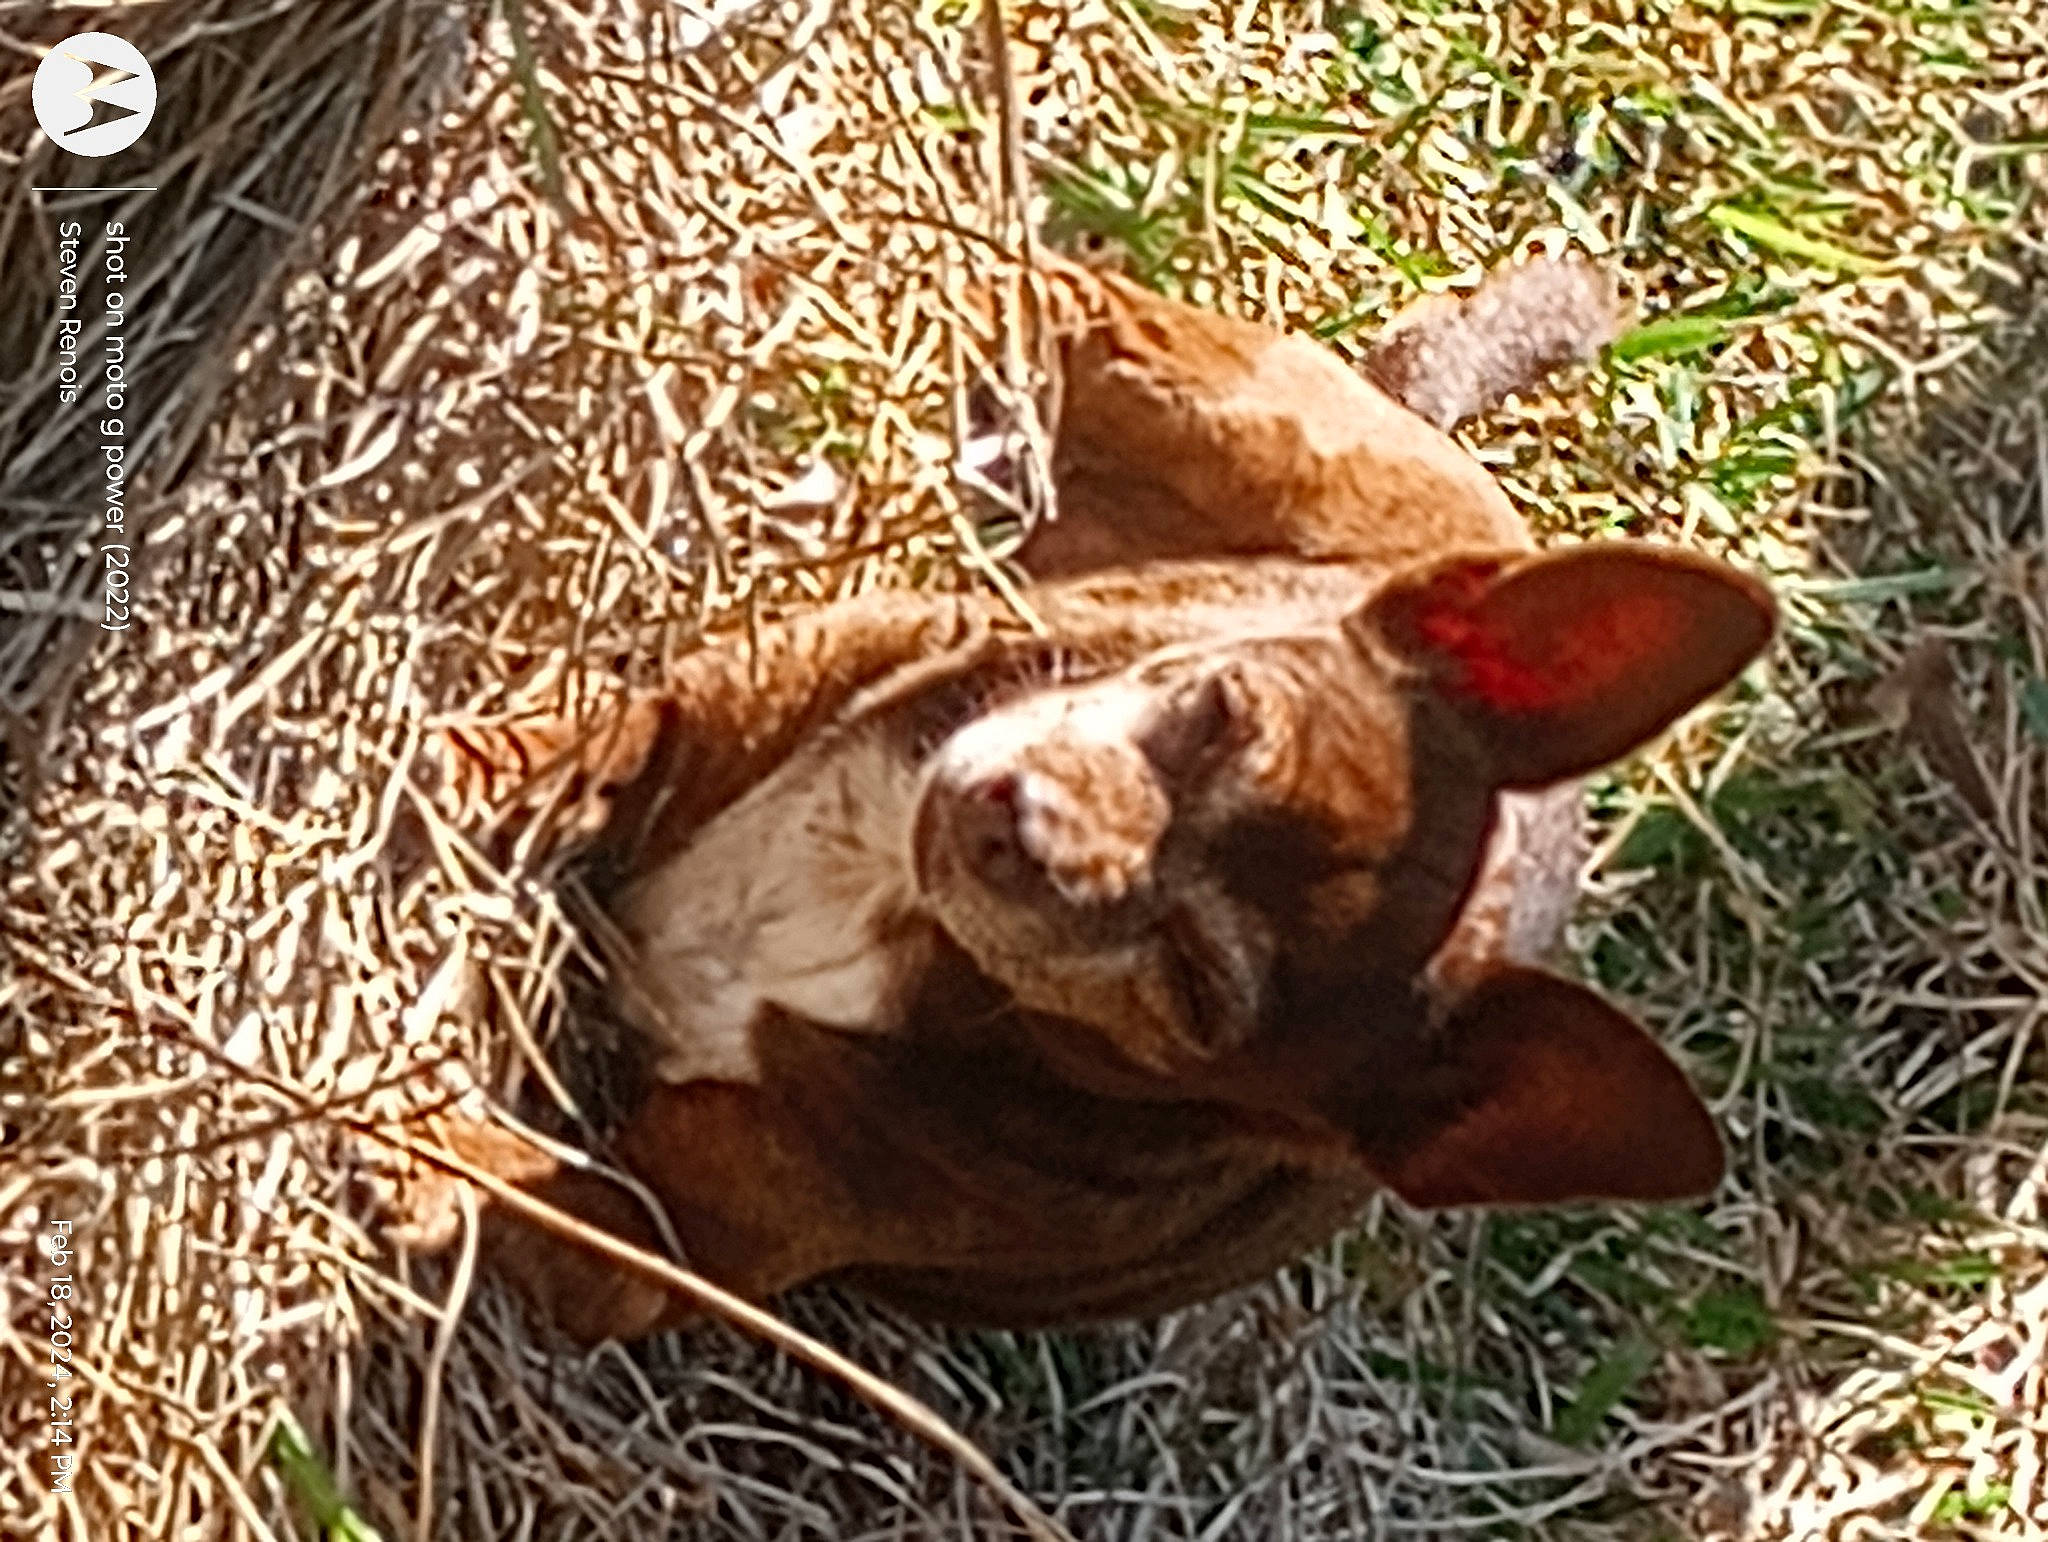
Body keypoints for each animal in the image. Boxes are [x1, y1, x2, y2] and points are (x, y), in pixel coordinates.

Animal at [394, 254, 1775, 1345]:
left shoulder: (663, 1246)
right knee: (1057, 293)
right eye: (1221, 711)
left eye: (1195, 988)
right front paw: (457, 766)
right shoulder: (720, 705)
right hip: (1204, 408)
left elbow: (542, 1200)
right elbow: (591, 742)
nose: (1019, 829)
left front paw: (418, 1153)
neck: (879, 901)